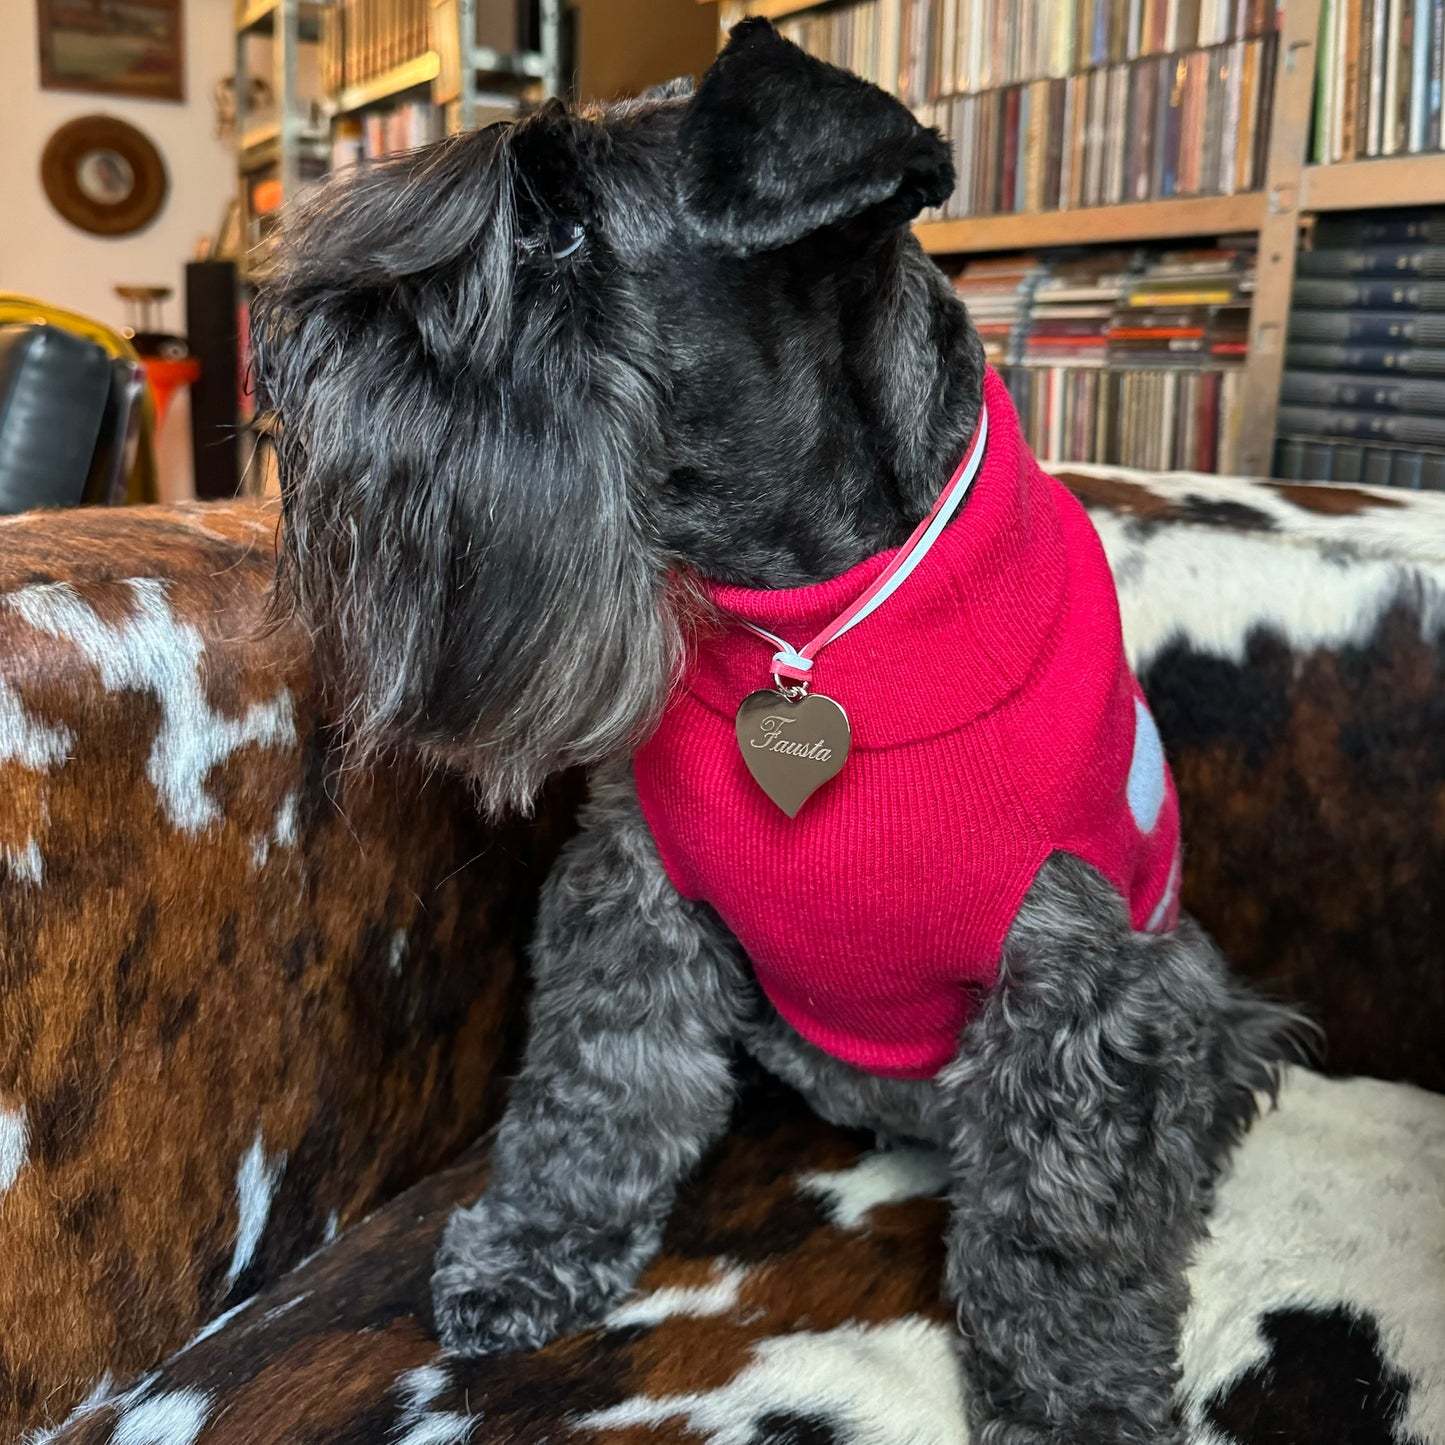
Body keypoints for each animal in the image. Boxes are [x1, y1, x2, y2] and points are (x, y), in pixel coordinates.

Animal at [254, 16, 1306, 1439]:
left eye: (561, 231)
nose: (285, 347)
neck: (816, 627)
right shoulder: (632, 893)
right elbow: (596, 1086)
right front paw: (532, 1250)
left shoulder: (1079, 987)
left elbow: (1059, 1220)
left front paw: (1068, 1397)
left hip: (1195, 986)